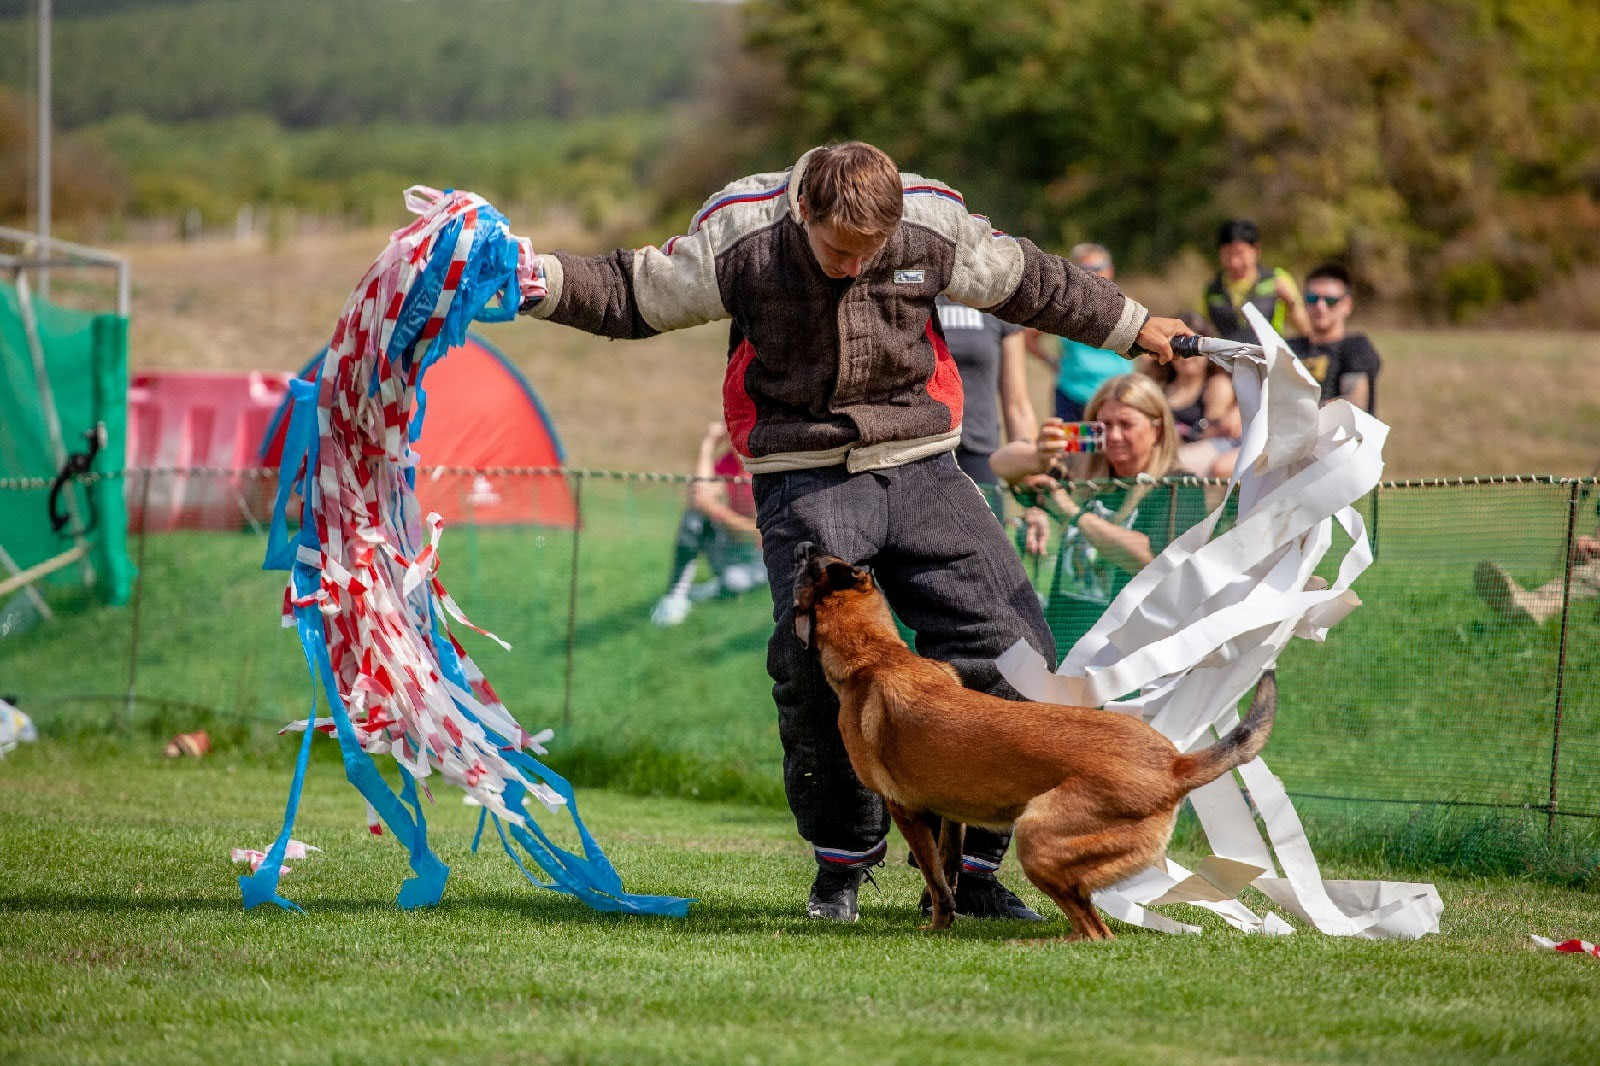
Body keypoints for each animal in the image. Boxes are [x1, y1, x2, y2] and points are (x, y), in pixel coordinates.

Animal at [793, 544, 1280, 934]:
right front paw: (942, 918)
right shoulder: (951, 814)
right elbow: (948, 871)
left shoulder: (907, 810)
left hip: (1036, 837)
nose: (801, 543)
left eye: (810, 565)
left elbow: (935, 877)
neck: (875, 655)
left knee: (1095, 932)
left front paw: (935, 926)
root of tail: (1175, 765)